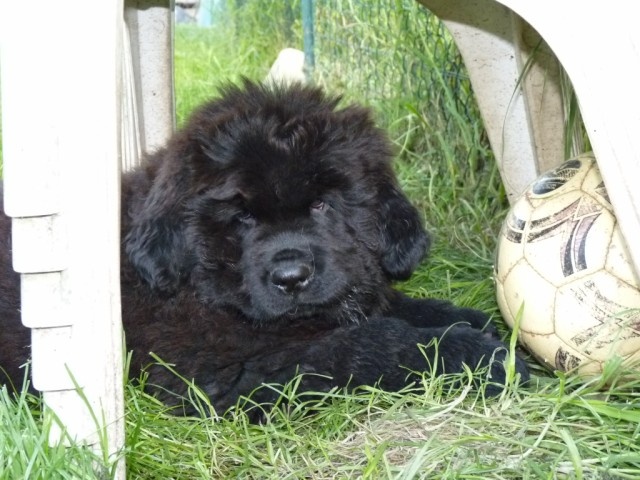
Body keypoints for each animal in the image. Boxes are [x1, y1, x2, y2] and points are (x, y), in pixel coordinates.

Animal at [0, 80, 528, 414]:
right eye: (243, 217)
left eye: (322, 204)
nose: (291, 278)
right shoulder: (229, 370)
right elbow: (367, 343)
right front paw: (480, 356)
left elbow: (398, 304)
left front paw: (479, 322)